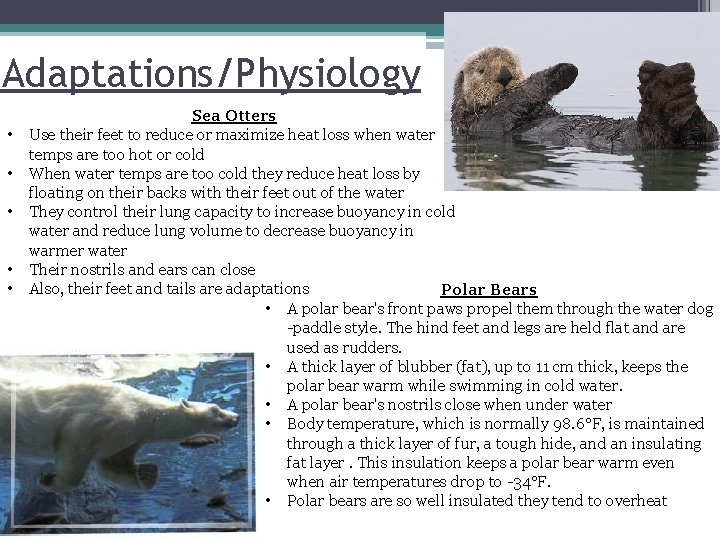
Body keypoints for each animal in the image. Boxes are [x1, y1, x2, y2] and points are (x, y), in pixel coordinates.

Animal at [451, 47, 719, 152]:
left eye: (512, 64)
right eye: (481, 70)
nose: (506, 75)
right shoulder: (490, 120)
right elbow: (520, 95)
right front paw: (564, 71)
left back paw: (660, 77)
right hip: (645, 137)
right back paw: (669, 93)